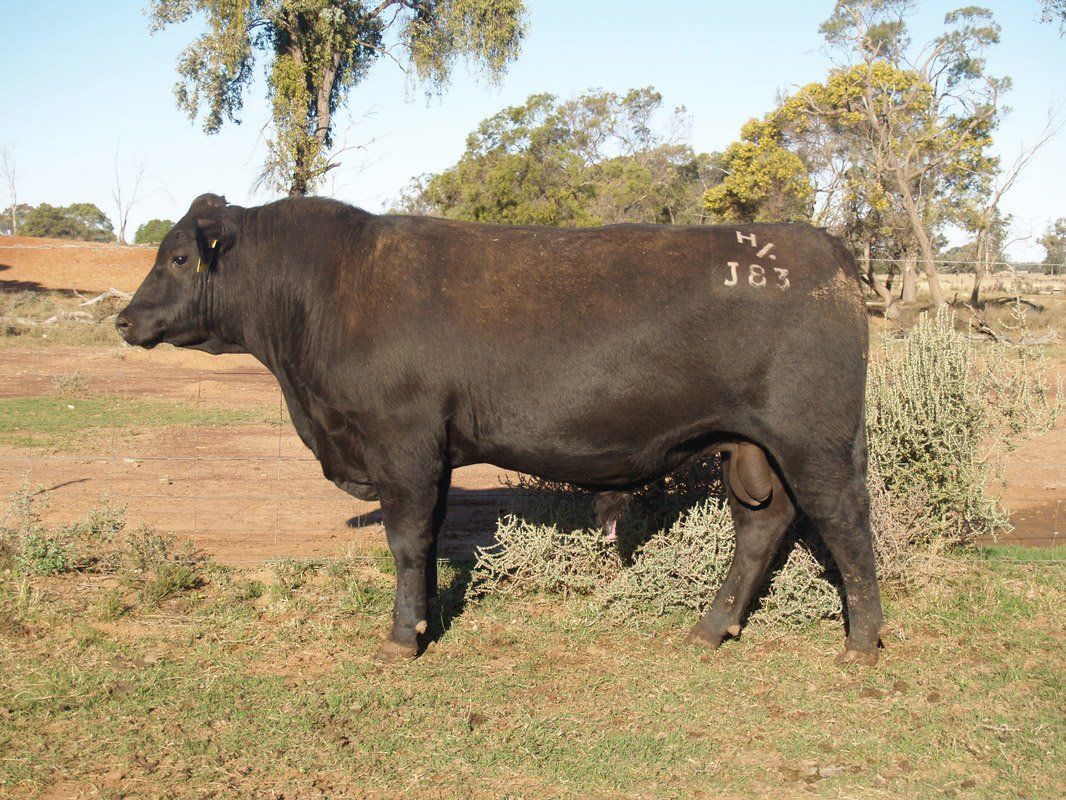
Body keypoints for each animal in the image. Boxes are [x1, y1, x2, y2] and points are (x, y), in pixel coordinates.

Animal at [117, 193, 885, 665]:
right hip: (750, 448)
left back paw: (862, 642)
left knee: (845, 524)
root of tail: (824, 247)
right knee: (763, 524)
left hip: (814, 440)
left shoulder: (403, 442)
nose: (124, 318)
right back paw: (709, 629)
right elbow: (427, 540)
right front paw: (424, 621)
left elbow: (406, 540)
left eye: (179, 257)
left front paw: (401, 639)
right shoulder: (428, 454)